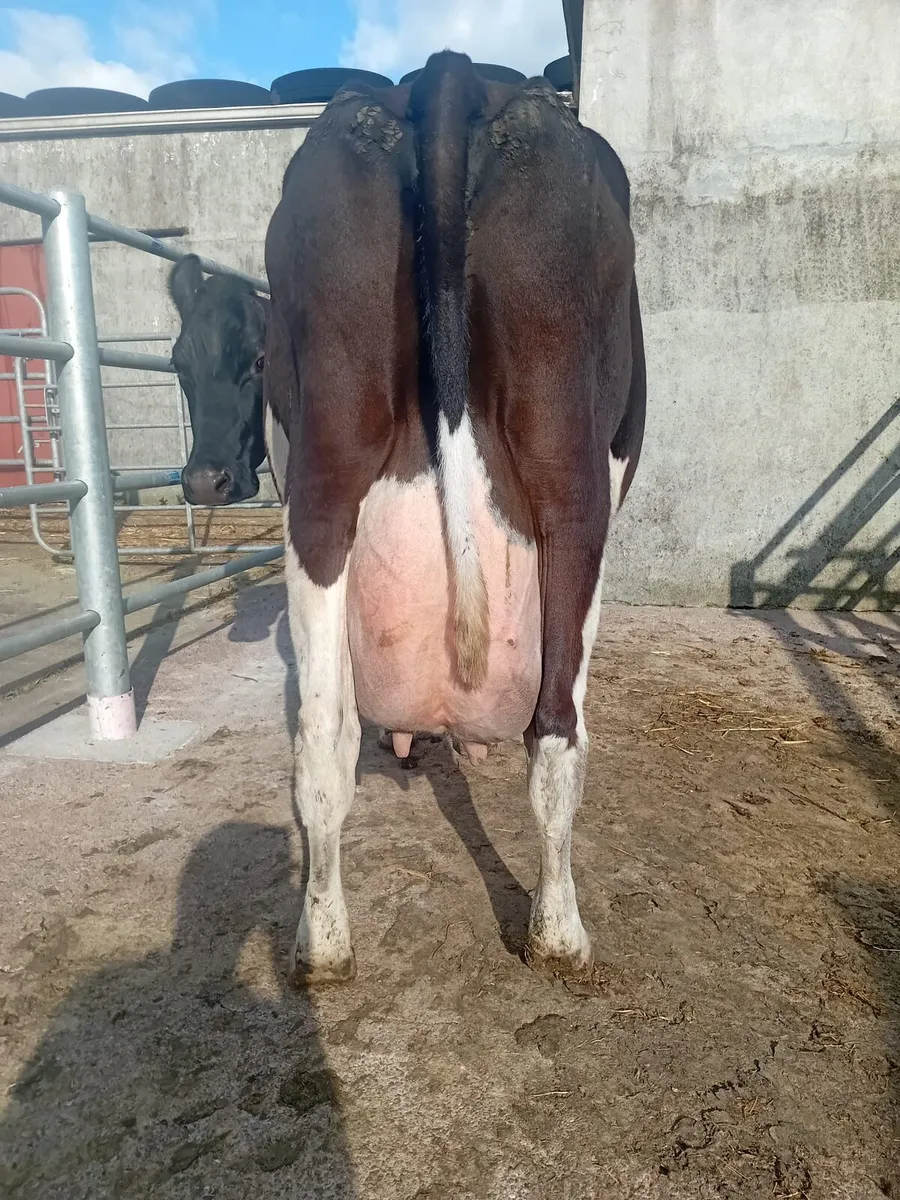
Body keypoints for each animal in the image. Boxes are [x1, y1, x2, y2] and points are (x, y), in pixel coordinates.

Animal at [171, 50, 646, 986]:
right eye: (177, 364)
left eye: (250, 362)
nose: (205, 480)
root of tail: (446, 74)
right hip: (574, 489)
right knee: (559, 734)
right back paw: (559, 935)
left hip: (322, 485)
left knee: (321, 741)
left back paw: (322, 944)